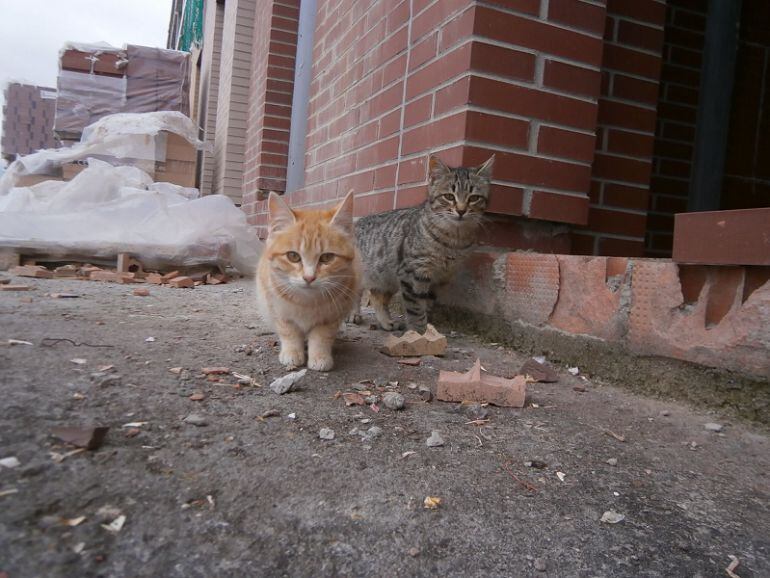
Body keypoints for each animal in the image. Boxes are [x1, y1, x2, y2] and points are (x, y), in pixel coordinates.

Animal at [255, 189, 356, 368]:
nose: (309, 277)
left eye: (327, 257)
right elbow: (289, 332)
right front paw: (292, 353)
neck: (306, 303)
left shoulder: (332, 316)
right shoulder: (278, 309)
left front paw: (320, 357)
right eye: (293, 256)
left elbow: (322, 336)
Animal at [354, 155, 492, 330]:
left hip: (385, 277)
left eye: (474, 198)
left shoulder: (439, 279)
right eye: (449, 196)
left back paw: (386, 322)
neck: (454, 241)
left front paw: (426, 330)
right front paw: (418, 331)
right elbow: (416, 309)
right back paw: (354, 315)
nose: (461, 211)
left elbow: (426, 306)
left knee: (377, 296)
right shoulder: (413, 273)